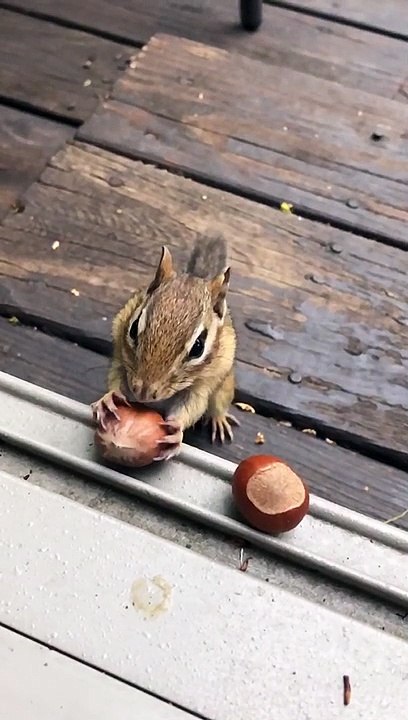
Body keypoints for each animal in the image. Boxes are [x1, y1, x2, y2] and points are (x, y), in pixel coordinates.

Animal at [91, 236, 239, 461]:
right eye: (133, 327)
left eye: (198, 347)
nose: (143, 393)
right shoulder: (120, 358)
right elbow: (115, 378)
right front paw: (108, 399)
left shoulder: (201, 386)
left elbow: (193, 405)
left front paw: (177, 431)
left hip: (224, 385)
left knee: (219, 403)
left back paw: (219, 419)